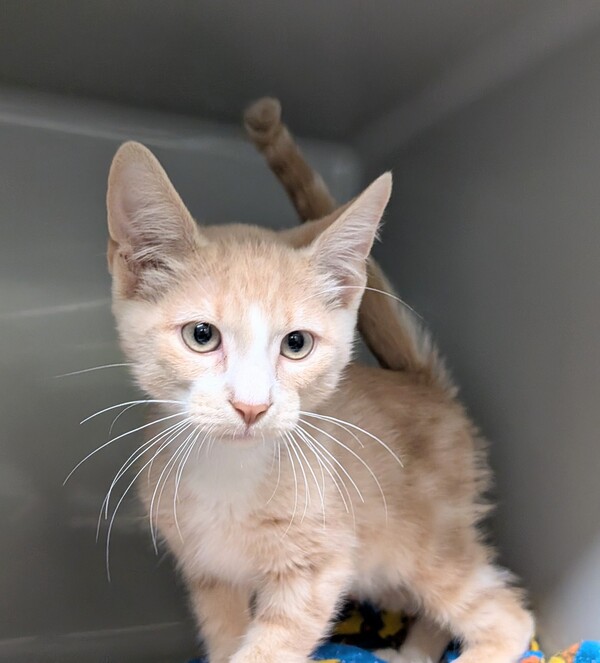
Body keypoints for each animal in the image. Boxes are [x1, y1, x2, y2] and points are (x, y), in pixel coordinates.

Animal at [104, 108, 534, 663]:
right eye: (202, 335)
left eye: (296, 344)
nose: (251, 406)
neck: (230, 474)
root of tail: (422, 381)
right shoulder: (209, 572)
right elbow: (225, 638)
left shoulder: (318, 568)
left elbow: (270, 648)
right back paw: (409, 653)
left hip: (425, 543)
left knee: (506, 615)